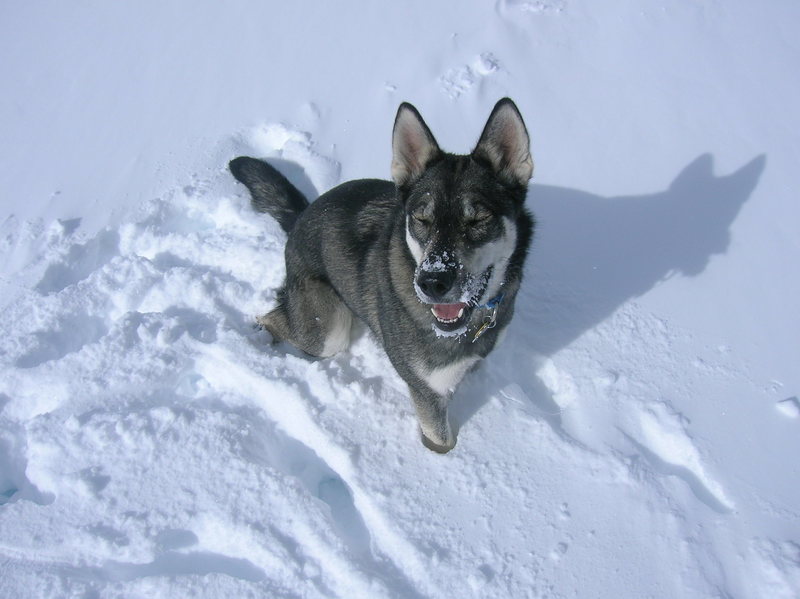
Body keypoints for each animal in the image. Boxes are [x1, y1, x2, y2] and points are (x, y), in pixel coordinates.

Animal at [228, 98, 536, 452]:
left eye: (478, 219)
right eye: (421, 219)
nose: (431, 282)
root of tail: (302, 214)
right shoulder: (427, 392)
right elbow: (442, 442)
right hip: (327, 330)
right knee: (273, 318)